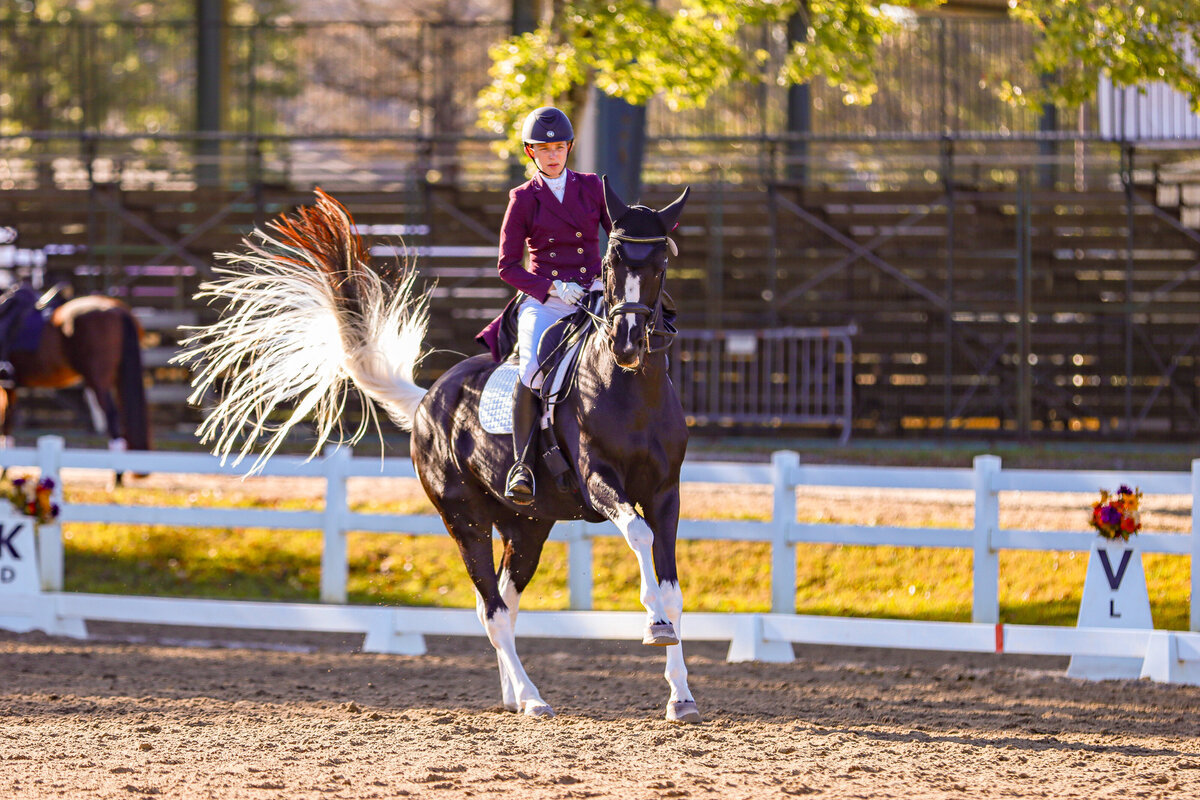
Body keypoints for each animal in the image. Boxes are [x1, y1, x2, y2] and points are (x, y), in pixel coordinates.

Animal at [1, 295, 152, 467]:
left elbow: (6, 420)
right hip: (117, 379)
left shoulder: (7, 385)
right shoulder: (10, 386)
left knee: (112, 419)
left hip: (97, 381)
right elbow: (8, 418)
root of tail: (118, 311)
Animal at [180, 184, 699, 723]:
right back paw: (531, 698)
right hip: (463, 516)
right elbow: (638, 536)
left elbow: (673, 589)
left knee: (502, 603)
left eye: (661, 261)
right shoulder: (598, 482)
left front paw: (681, 695)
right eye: (614, 260)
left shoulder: (665, 495)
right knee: (492, 610)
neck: (631, 391)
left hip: (527, 525)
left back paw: (515, 693)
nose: (628, 344)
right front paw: (654, 625)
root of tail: (427, 399)